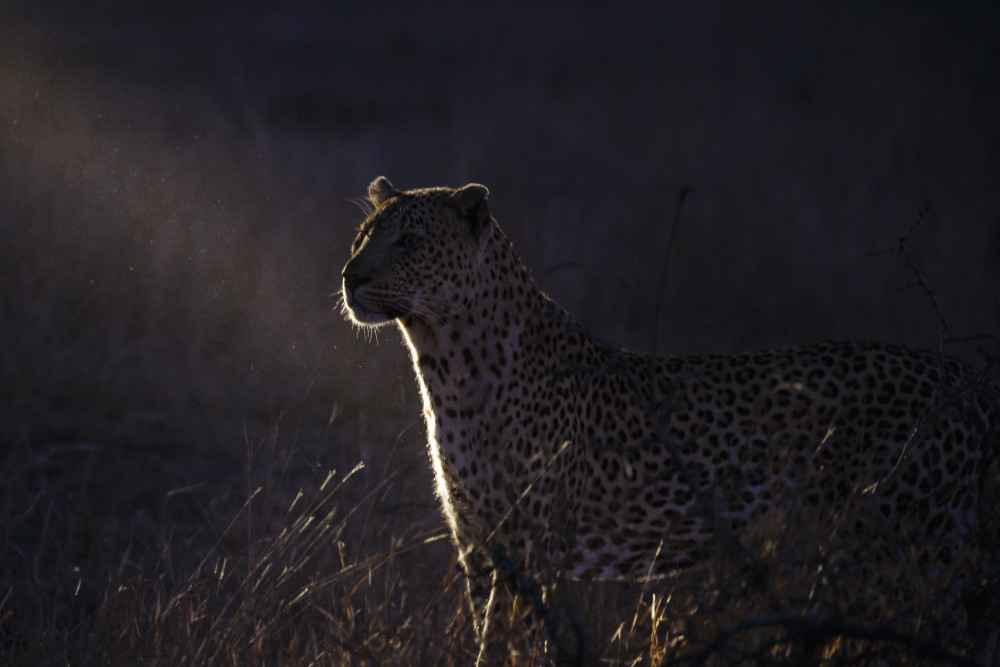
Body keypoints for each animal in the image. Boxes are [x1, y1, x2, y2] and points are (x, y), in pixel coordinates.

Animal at [341, 177, 999, 665]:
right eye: (363, 237)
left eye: (408, 241)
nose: (351, 276)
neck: (446, 366)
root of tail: (966, 377)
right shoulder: (479, 542)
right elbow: (492, 636)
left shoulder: (531, 547)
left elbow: (511, 643)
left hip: (909, 550)